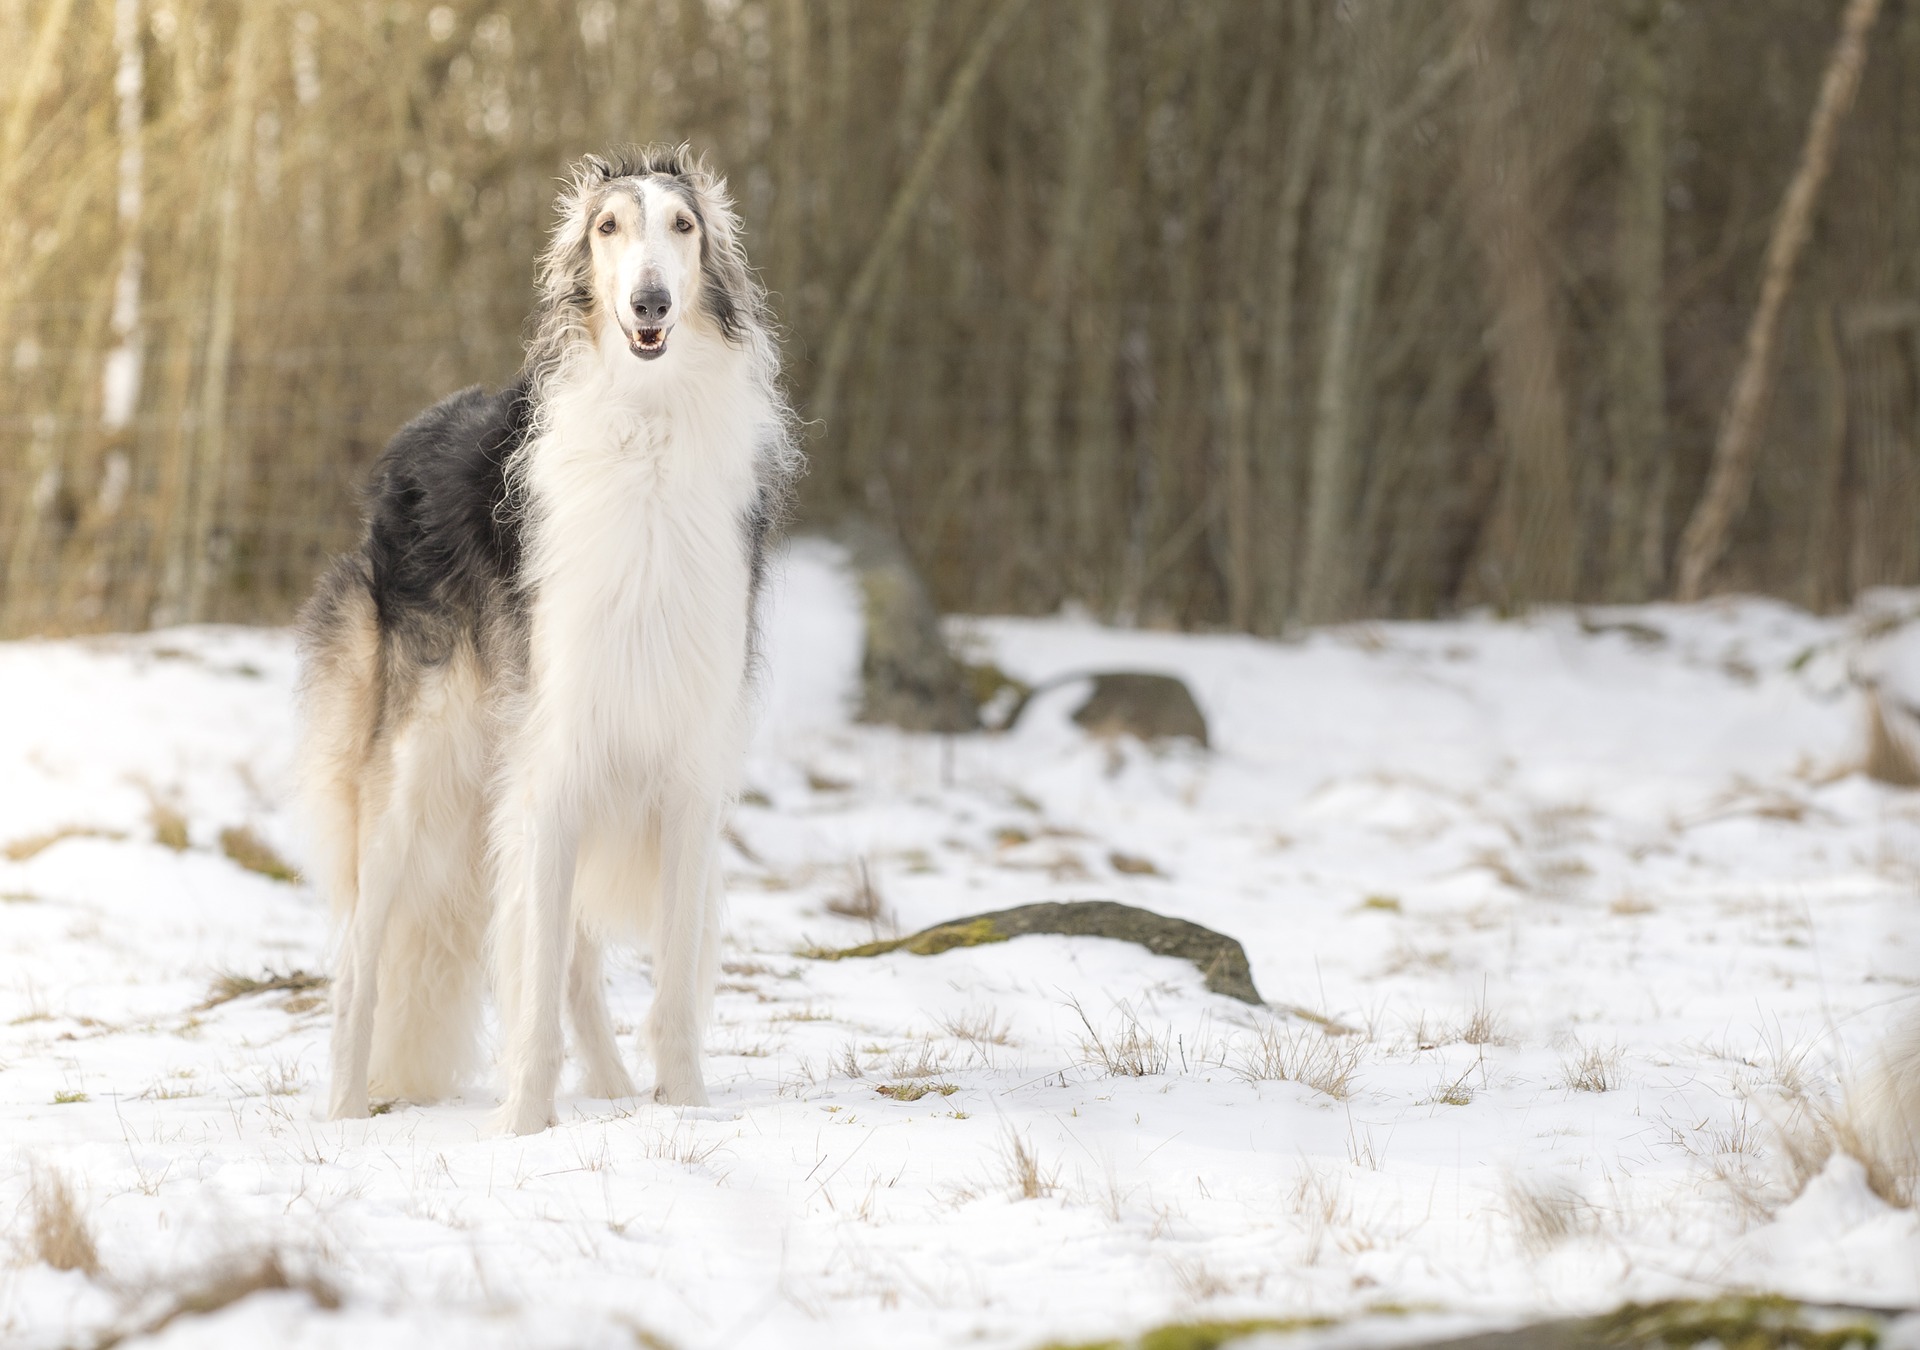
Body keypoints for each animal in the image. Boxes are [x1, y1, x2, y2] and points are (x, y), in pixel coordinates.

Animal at [289, 147, 794, 1136]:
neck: (645, 433)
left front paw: (682, 1107)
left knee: (570, 969)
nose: (650, 304)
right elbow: (529, 977)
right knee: (363, 960)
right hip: (417, 774)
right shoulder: (556, 755)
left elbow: (668, 987)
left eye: (683, 226)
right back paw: (345, 1111)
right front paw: (521, 1127)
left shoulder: (682, 766)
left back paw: (611, 1086)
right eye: (608, 227)